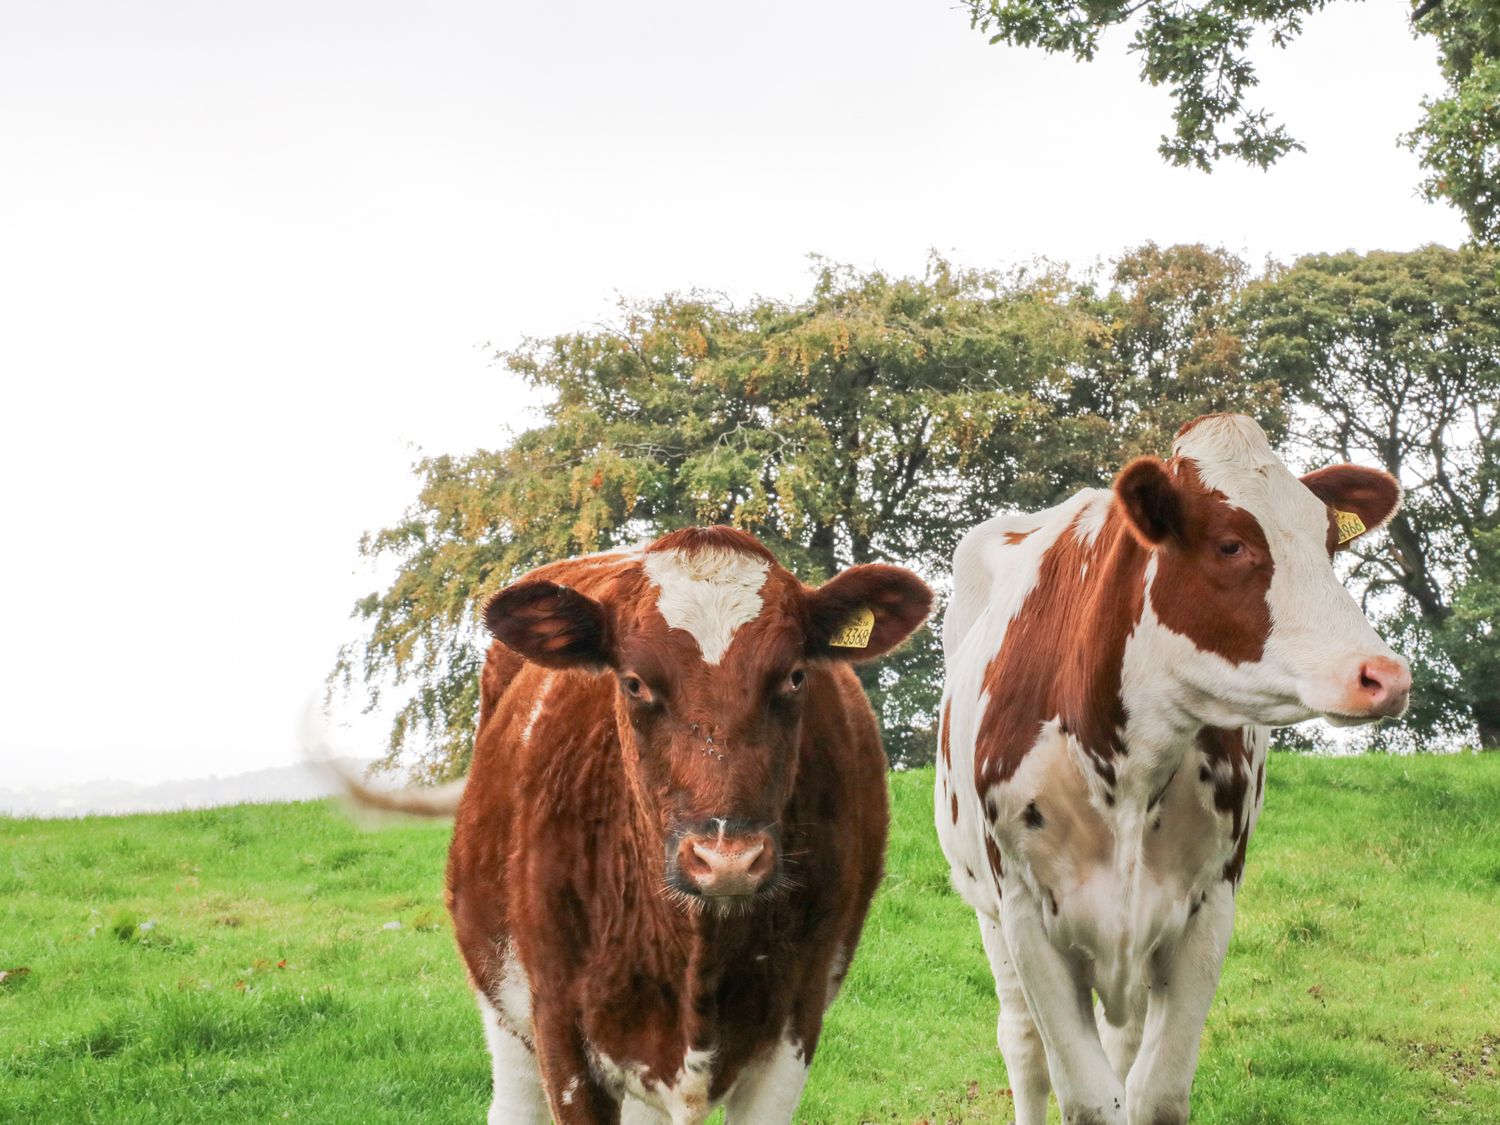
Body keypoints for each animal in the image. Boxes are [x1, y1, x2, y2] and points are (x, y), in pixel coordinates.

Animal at [444, 531, 930, 1125]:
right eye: (634, 683)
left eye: (794, 676)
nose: (727, 861)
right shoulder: (560, 1027)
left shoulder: (796, 1018)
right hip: (502, 1001)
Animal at [936, 417, 1404, 1125]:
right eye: (1230, 543)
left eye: (1327, 541)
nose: (1385, 675)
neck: (1127, 769)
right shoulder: (1024, 912)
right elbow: (1087, 1096)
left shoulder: (1208, 907)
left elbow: (1153, 1093)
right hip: (989, 915)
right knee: (1022, 1046)